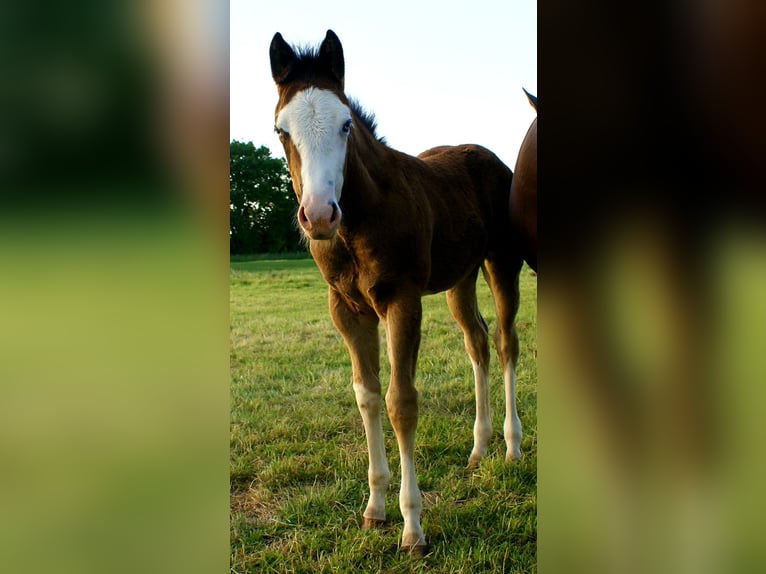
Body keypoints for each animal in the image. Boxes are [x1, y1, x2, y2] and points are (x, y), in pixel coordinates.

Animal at [269, 29, 524, 556]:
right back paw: (479, 448)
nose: (319, 215)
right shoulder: (346, 309)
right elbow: (367, 397)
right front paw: (375, 508)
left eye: (346, 124)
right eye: (281, 130)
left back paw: (511, 446)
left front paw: (412, 528)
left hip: (502, 262)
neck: (358, 221)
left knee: (506, 342)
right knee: (478, 343)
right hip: (459, 278)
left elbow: (400, 401)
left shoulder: (401, 300)